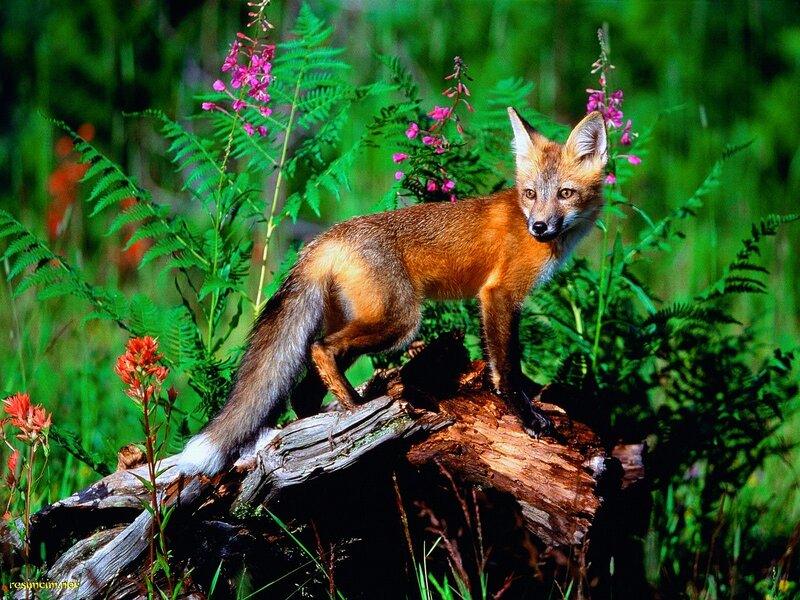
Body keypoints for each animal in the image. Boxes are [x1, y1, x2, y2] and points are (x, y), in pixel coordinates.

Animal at [178, 107, 608, 476]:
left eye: (565, 193)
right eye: (531, 194)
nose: (539, 227)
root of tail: (326, 238)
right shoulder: (499, 294)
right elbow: (506, 370)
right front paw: (527, 416)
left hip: (365, 319)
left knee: (302, 390)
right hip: (400, 321)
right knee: (320, 349)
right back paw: (357, 413)